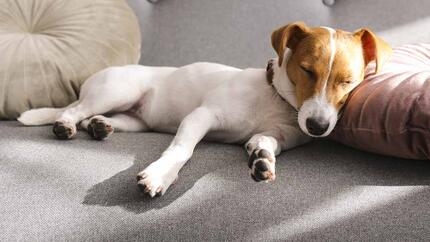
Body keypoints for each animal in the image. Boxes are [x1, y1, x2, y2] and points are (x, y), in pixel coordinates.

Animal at [18, 22, 392, 197]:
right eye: (307, 70)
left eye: (348, 81)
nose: (317, 126)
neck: (275, 98)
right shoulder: (201, 117)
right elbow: (181, 150)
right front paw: (159, 175)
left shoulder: (280, 134)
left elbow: (265, 142)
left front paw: (262, 159)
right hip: (117, 91)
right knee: (75, 109)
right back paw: (66, 124)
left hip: (134, 120)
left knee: (99, 119)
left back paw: (99, 127)